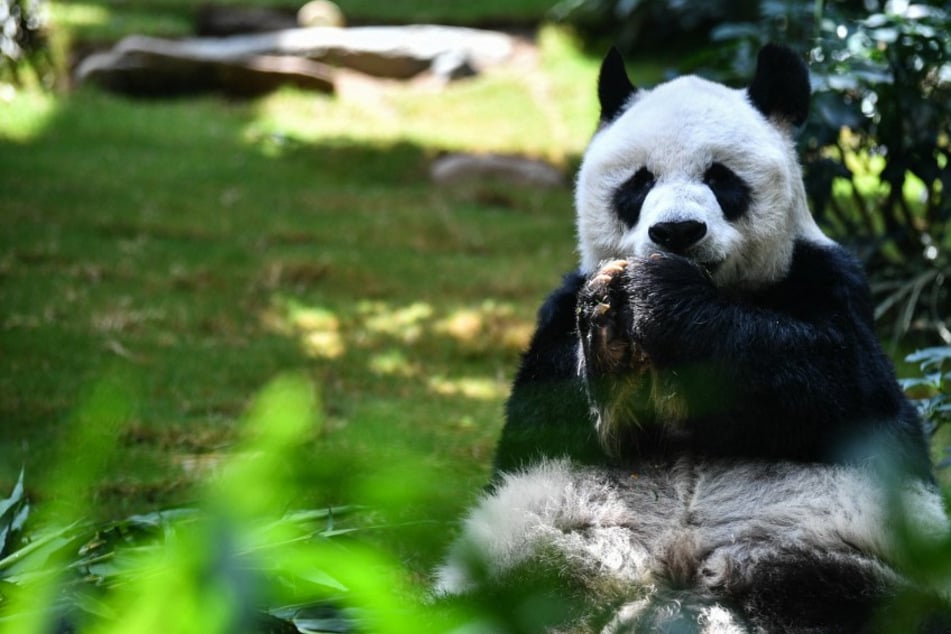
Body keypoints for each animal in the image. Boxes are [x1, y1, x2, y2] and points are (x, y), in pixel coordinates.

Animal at [436, 45, 951, 632]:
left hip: (831, 548)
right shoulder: (558, 312)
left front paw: (660, 297)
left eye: (722, 178)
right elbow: (547, 412)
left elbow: (836, 379)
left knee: (871, 604)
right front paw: (612, 342)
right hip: (542, 550)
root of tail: (673, 589)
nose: (677, 232)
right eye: (638, 183)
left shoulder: (831, 282)